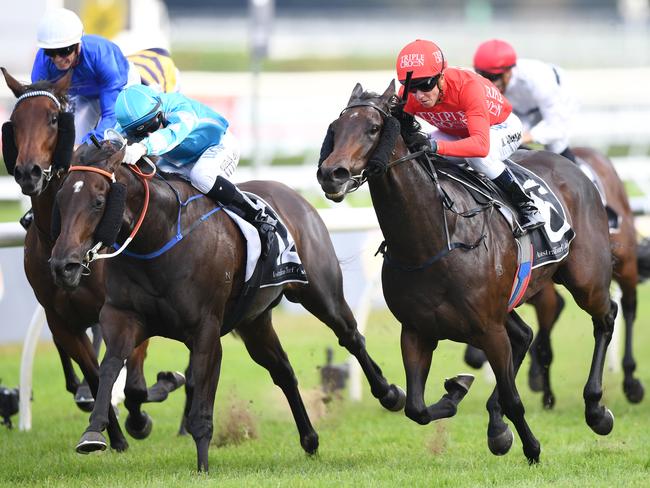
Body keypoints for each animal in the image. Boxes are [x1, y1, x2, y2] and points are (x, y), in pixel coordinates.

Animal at [1, 68, 182, 450]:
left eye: (53, 119)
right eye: (14, 121)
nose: (28, 172)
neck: (60, 235)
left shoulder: (131, 307)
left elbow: (134, 383)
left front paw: (142, 415)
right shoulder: (61, 320)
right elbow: (97, 375)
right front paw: (111, 435)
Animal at [48, 139, 402, 470]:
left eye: (97, 201)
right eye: (60, 199)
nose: (62, 265)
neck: (158, 237)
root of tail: (294, 195)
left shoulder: (205, 330)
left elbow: (200, 404)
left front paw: (203, 466)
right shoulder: (122, 317)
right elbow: (110, 369)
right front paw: (96, 431)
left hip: (320, 293)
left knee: (351, 337)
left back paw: (390, 394)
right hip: (254, 322)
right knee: (283, 371)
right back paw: (309, 439)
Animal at [316, 82, 616, 464]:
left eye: (373, 128)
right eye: (335, 129)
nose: (332, 173)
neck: (431, 241)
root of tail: (572, 165)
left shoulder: (488, 328)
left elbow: (514, 399)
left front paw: (532, 448)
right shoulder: (416, 330)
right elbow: (416, 408)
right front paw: (457, 392)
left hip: (586, 279)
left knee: (606, 317)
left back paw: (595, 409)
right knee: (525, 335)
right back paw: (498, 424)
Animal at [466, 147, 644, 410]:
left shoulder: (540, 292)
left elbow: (541, 342)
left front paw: (544, 391)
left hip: (621, 261)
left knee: (628, 306)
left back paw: (631, 381)